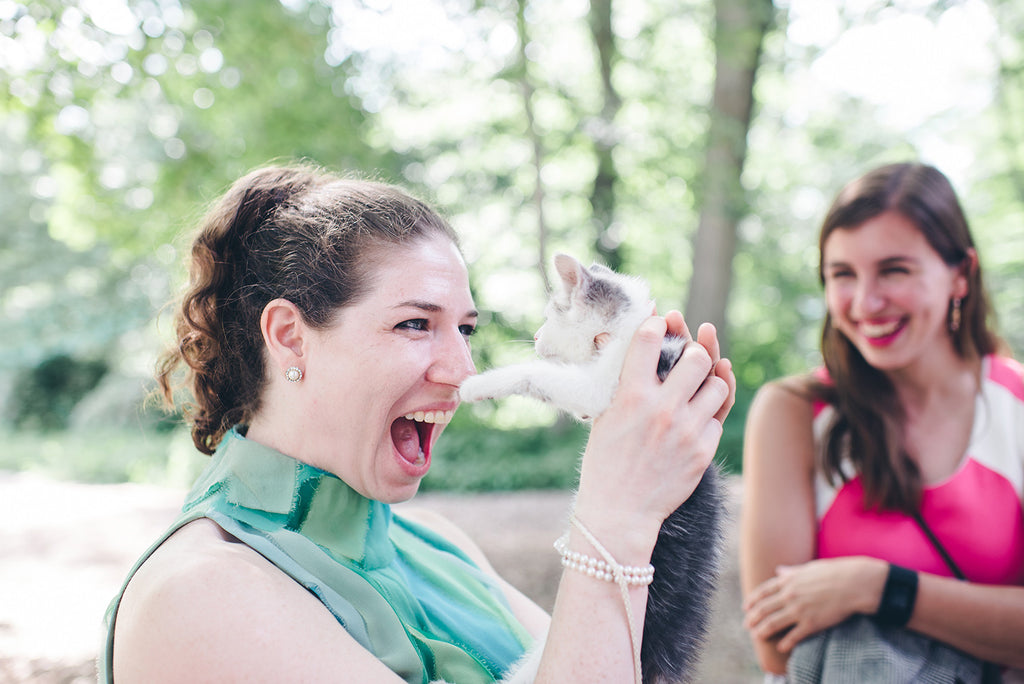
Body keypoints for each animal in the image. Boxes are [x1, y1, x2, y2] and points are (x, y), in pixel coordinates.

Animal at [460, 253, 724, 684]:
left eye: (551, 314)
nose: (536, 336)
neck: (627, 334)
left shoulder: (605, 387)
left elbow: (538, 375)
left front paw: (478, 385)